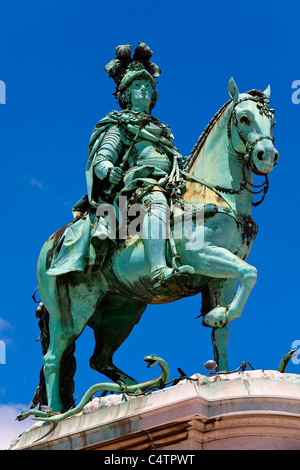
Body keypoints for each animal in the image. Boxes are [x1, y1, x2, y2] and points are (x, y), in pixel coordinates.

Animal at [31, 78, 278, 414]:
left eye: (271, 121)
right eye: (244, 118)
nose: (268, 155)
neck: (208, 195)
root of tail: (50, 244)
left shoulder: (222, 278)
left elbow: (224, 329)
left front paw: (223, 362)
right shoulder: (203, 257)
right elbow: (251, 273)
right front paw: (217, 315)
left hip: (122, 312)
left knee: (99, 359)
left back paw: (135, 388)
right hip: (70, 312)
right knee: (54, 358)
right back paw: (56, 415)